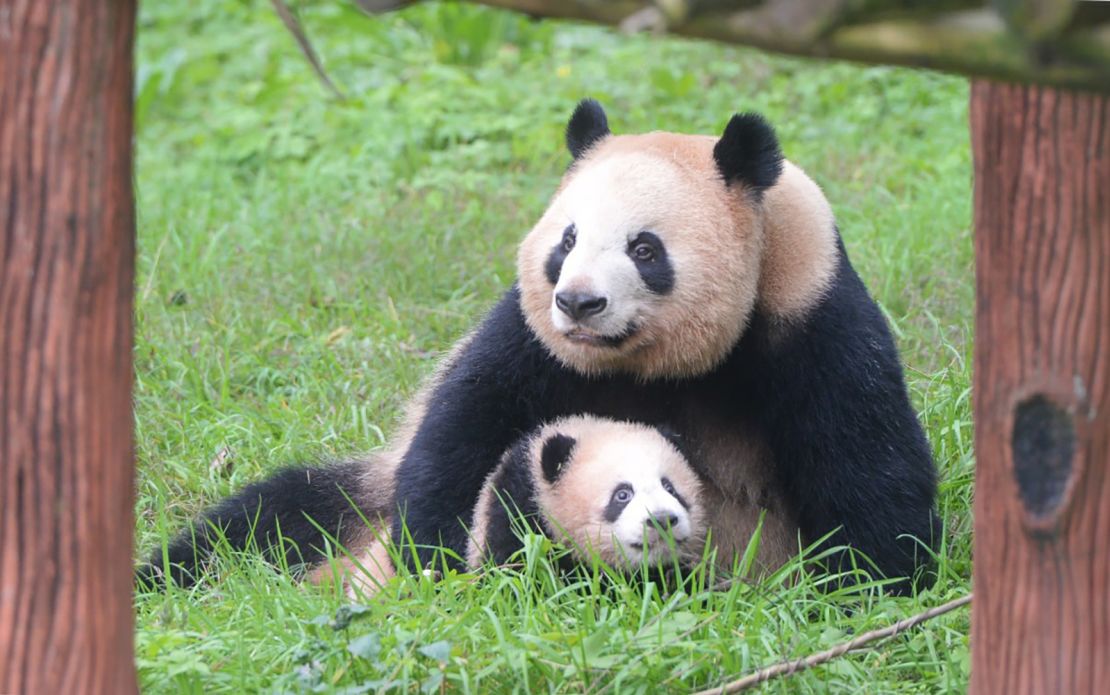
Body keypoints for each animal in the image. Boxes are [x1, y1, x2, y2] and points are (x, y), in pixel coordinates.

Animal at [138, 99, 936, 590]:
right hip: (353, 504)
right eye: (566, 241)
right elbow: (469, 419)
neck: (656, 361)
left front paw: (869, 588)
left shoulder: (808, 306)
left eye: (645, 248)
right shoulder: (531, 334)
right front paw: (435, 555)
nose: (580, 302)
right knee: (259, 525)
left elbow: (866, 460)